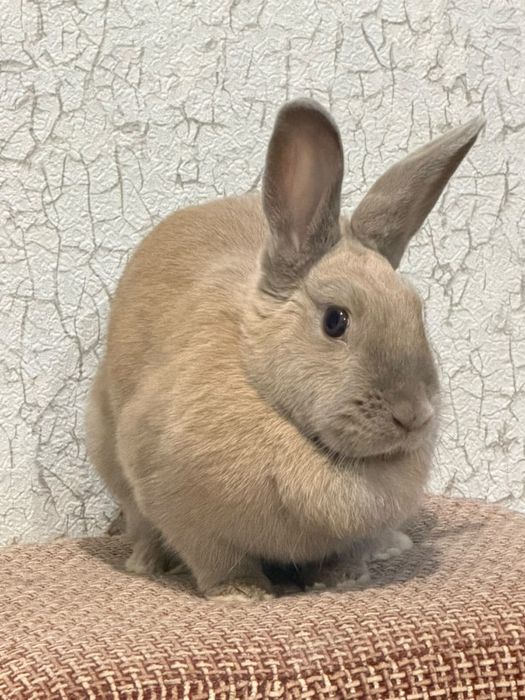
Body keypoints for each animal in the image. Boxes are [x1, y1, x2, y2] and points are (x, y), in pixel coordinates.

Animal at [85, 99, 484, 601]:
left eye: (418, 311)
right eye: (335, 320)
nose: (413, 415)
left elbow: (346, 550)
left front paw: (343, 579)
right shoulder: (180, 506)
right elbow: (217, 558)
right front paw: (242, 592)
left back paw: (392, 545)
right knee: (140, 526)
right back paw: (146, 563)